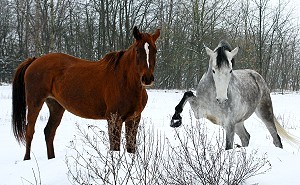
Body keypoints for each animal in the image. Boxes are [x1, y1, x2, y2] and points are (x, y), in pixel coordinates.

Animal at [12, 26, 161, 160]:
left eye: (155, 50)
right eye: (138, 50)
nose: (147, 78)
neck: (125, 81)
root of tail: (34, 60)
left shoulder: (133, 119)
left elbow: (131, 148)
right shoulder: (114, 119)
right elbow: (115, 147)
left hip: (56, 106)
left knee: (49, 132)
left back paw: (51, 159)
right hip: (35, 102)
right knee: (30, 131)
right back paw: (27, 159)